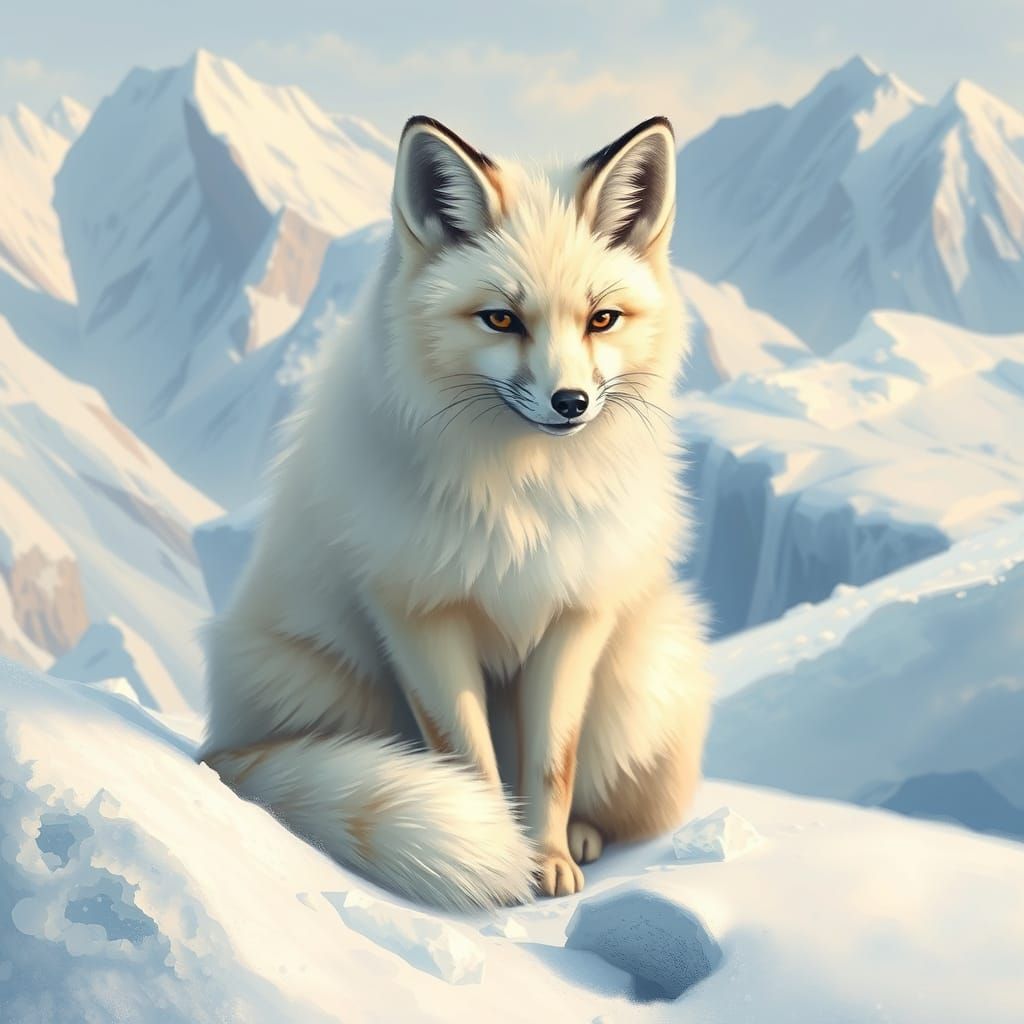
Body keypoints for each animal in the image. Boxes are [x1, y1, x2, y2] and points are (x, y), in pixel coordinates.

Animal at [200, 114, 713, 911]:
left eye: (602, 319)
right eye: (501, 319)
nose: (571, 403)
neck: (521, 501)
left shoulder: (576, 613)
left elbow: (552, 761)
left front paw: (546, 857)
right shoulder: (417, 611)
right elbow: (467, 757)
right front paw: (500, 858)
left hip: (645, 680)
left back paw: (583, 837)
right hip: (321, 681)